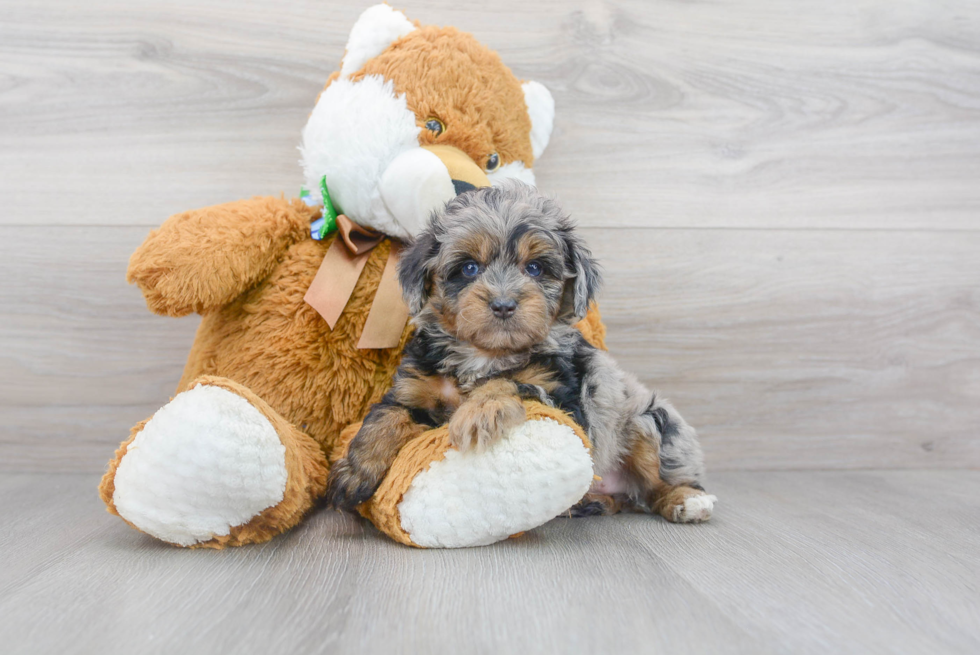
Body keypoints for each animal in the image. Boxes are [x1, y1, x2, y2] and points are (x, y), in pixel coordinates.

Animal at [326, 182, 716, 524]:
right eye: (469, 268)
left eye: (535, 268)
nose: (503, 304)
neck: (485, 353)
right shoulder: (413, 390)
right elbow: (385, 418)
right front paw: (354, 472)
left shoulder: (566, 402)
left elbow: (510, 382)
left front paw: (480, 410)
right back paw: (592, 503)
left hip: (650, 422)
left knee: (660, 480)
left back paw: (686, 501)